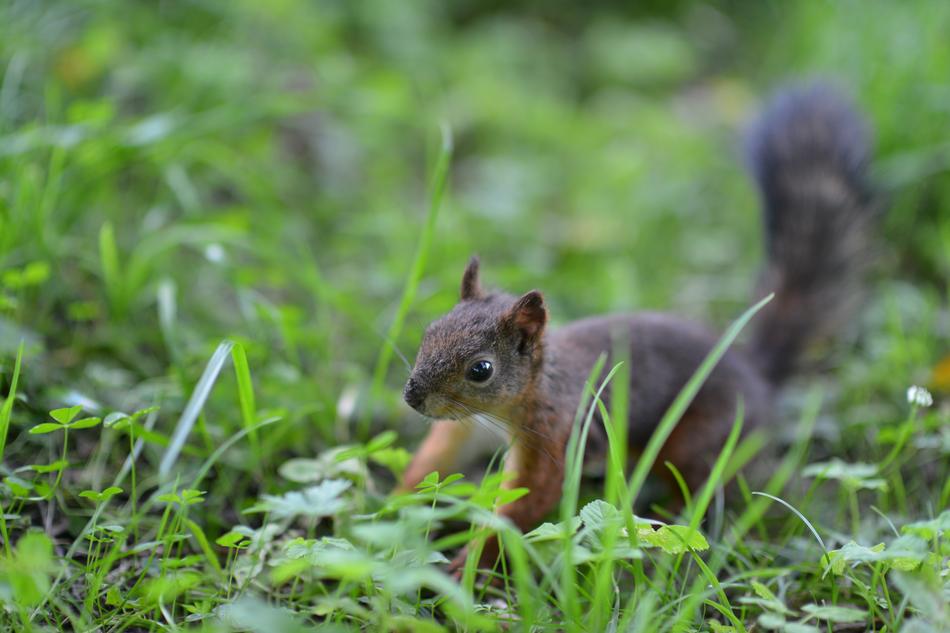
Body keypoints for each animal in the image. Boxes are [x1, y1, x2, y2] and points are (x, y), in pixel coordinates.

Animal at [399, 83, 877, 572]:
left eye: (482, 370)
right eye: (429, 331)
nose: (413, 397)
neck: (517, 400)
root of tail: (757, 373)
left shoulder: (555, 434)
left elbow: (526, 506)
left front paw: (463, 569)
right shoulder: (468, 425)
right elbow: (439, 453)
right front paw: (398, 503)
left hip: (701, 438)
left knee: (706, 487)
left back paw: (665, 524)